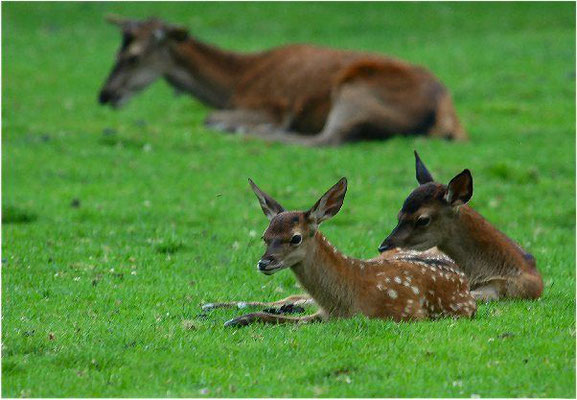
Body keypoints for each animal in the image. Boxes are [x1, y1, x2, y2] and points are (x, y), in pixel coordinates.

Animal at [98, 16, 468, 147]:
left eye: (133, 57)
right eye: (115, 53)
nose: (104, 94)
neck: (234, 84)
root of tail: (446, 112)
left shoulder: (269, 105)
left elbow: (210, 118)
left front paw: (237, 126)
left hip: (356, 90)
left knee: (327, 139)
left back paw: (255, 133)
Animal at [214, 177, 474, 326]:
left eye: (295, 237)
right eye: (265, 236)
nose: (264, 263)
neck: (345, 303)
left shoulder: (407, 313)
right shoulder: (324, 314)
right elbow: (273, 317)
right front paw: (234, 320)